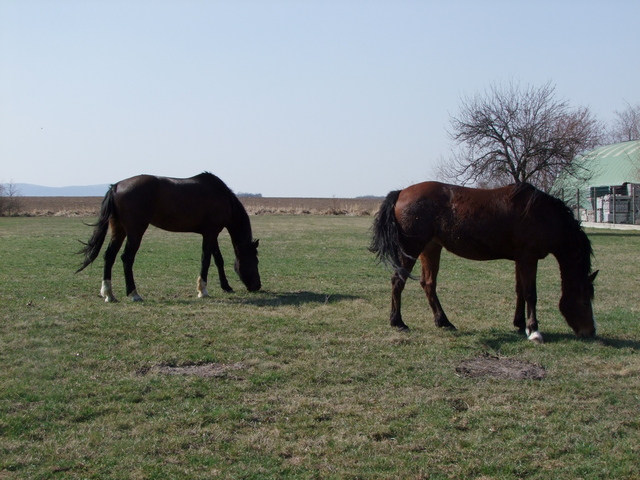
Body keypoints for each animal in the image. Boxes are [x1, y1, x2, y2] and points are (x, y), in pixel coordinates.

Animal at [76, 172, 262, 300]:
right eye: (256, 261)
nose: (257, 286)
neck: (222, 196)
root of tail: (115, 186)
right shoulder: (210, 233)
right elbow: (206, 259)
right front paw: (203, 290)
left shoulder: (211, 233)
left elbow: (218, 260)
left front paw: (226, 286)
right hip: (135, 231)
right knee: (127, 258)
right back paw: (134, 293)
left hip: (119, 230)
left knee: (109, 256)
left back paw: (108, 294)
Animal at [370, 180, 600, 342]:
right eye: (583, 301)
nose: (590, 332)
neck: (542, 214)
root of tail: (401, 192)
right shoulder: (529, 257)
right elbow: (530, 293)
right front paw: (534, 331)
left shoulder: (520, 259)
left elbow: (519, 291)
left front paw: (519, 324)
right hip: (412, 248)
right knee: (398, 281)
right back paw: (398, 322)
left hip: (431, 248)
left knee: (428, 284)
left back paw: (443, 321)